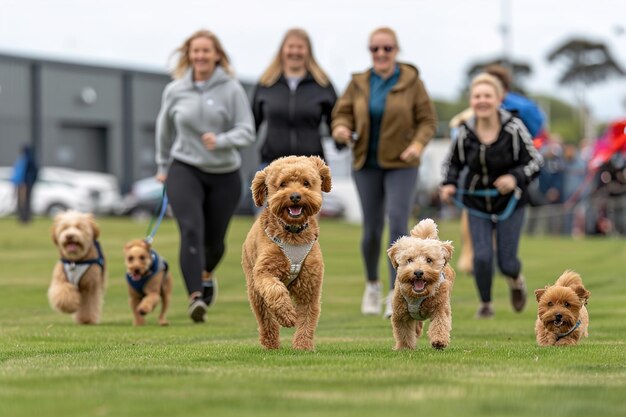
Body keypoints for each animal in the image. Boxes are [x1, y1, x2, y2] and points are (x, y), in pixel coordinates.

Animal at [241, 154, 332, 350]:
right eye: (282, 184)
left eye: (306, 183)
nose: (295, 196)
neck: (293, 232)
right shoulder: (265, 271)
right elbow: (275, 290)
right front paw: (287, 316)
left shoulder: (310, 283)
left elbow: (307, 316)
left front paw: (303, 346)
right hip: (254, 288)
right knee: (265, 317)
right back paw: (270, 343)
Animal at [386, 219, 454, 350]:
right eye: (409, 260)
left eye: (429, 260)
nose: (418, 272)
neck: (418, 295)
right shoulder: (401, 314)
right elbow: (404, 332)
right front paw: (405, 347)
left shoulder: (440, 307)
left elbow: (440, 323)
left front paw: (439, 341)